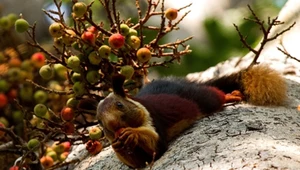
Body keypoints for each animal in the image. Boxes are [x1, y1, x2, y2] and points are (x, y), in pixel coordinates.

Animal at [95, 64, 286, 167]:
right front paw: (117, 146)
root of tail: (187, 84)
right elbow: (138, 162)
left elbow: (157, 146)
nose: (113, 126)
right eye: (100, 122)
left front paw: (133, 133)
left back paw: (228, 96)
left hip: (203, 98)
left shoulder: (152, 118)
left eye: (119, 105)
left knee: (213, 95)